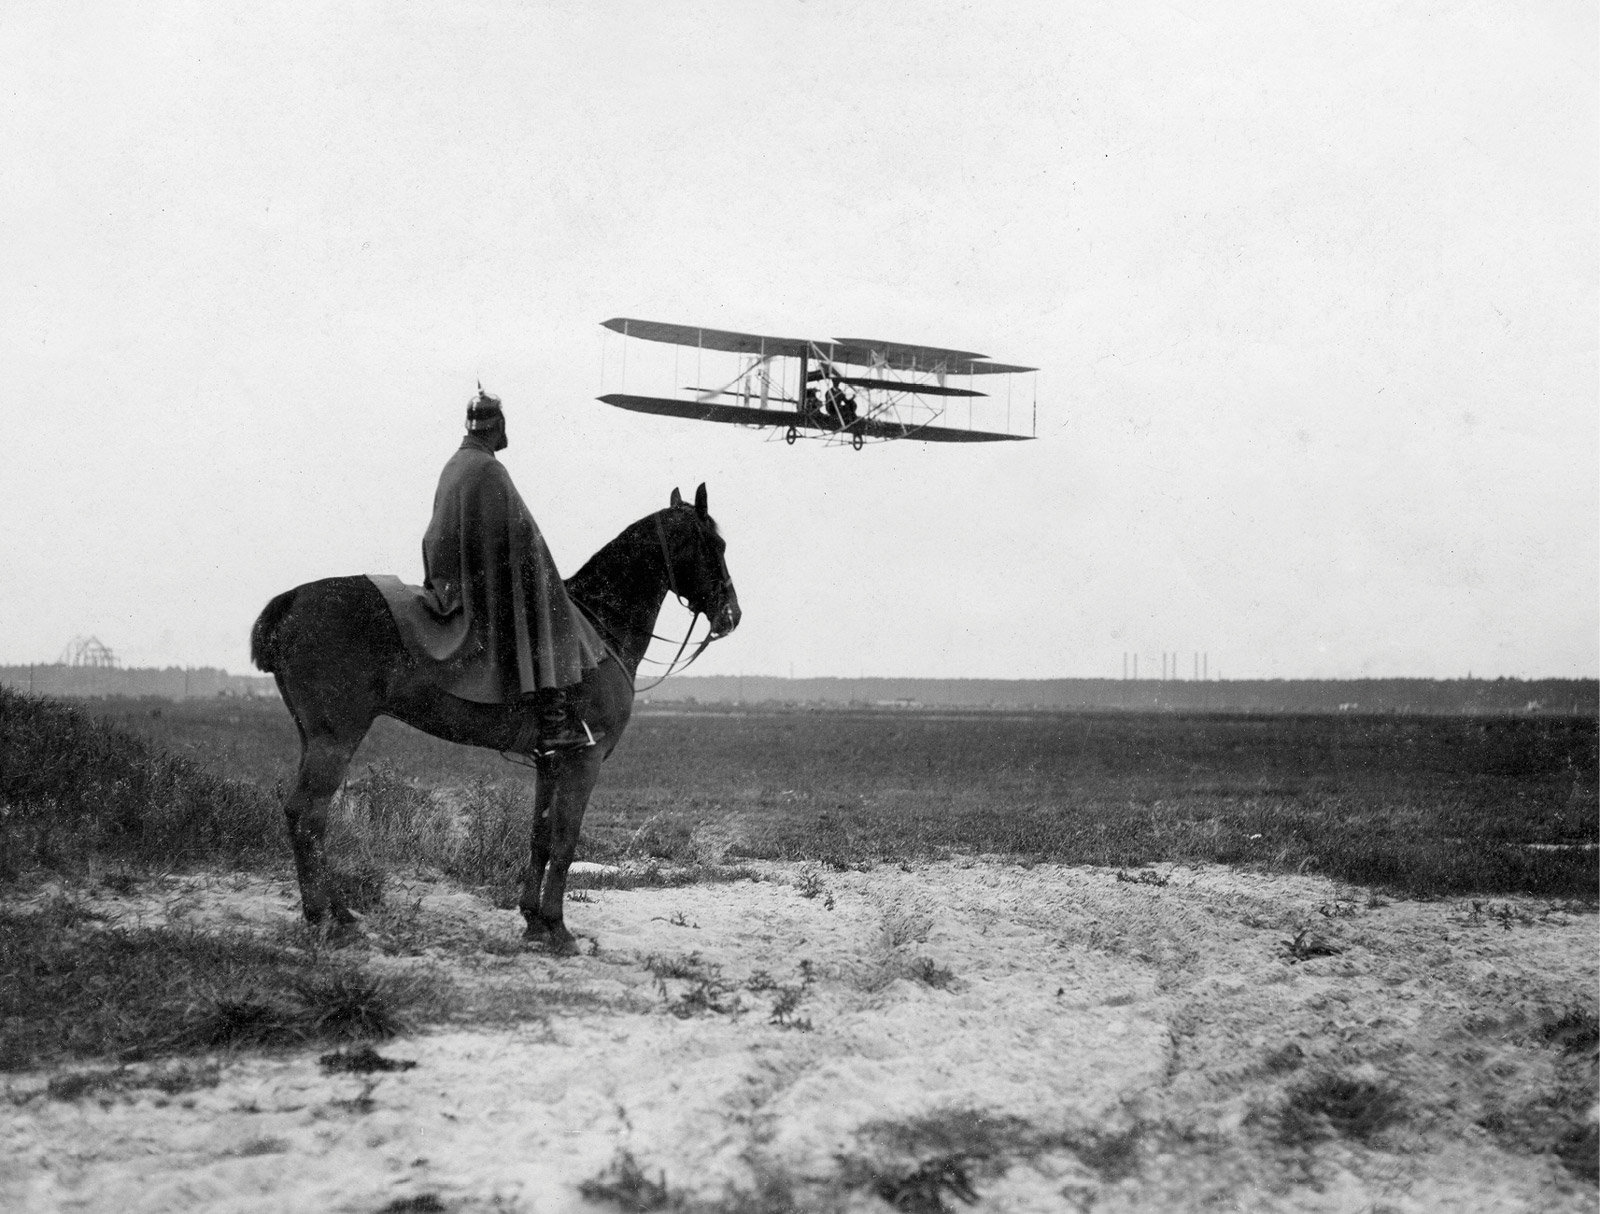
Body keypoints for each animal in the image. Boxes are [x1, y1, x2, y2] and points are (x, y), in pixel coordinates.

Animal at [251, 483, 742, 946]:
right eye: (716, 545)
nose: (732, 616)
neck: (600, 630)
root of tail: (292, 600)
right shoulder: (585, 758)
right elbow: (565, 841)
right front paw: (557, 927)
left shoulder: (551, 761)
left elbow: (540, 837)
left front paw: (533, 920)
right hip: (336, 739)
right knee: (308, 815)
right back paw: (325, 918)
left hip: (313, 737)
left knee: (304, 817)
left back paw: (337, 913)